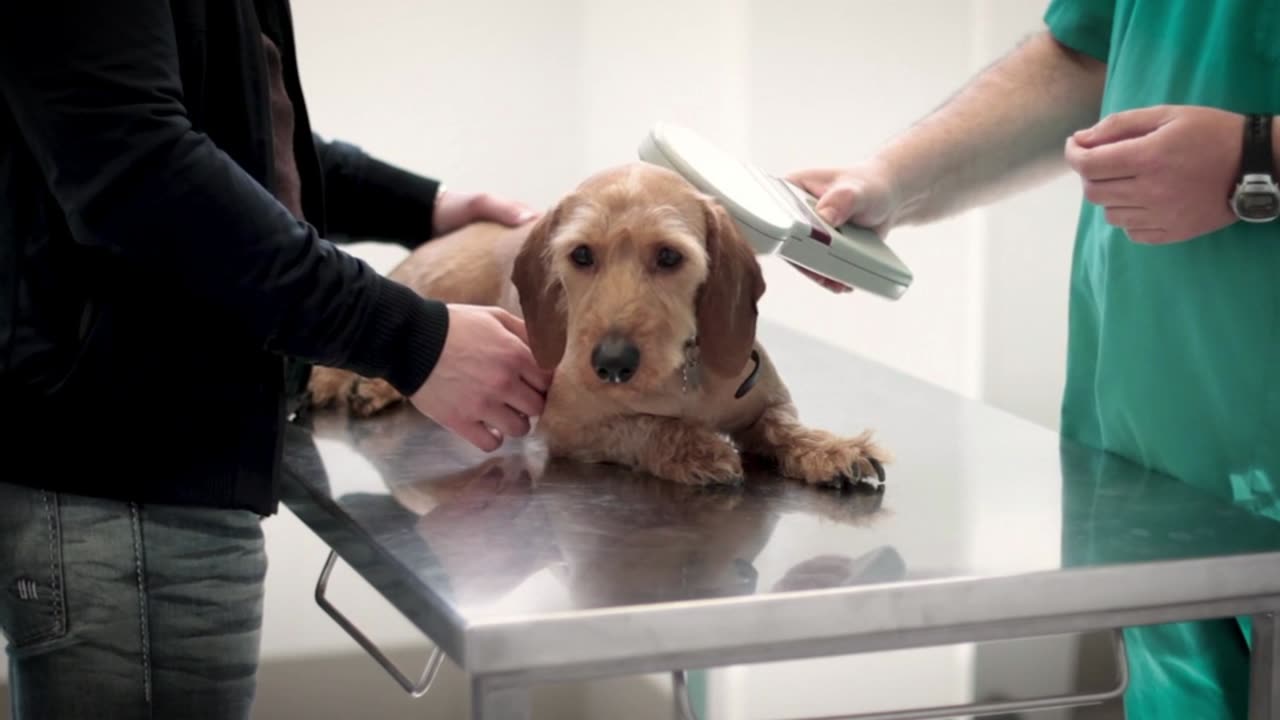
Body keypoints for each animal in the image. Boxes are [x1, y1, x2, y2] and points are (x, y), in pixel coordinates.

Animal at [308, 161, 890, 486]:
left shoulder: (767, 400)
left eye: (670, 256)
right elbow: (643, 426)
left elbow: (783, 424)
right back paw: (346, 381)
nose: (611, 363)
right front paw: (695, 448)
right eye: (582, 255)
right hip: (437, 289)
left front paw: (833, 450)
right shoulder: (569, 425)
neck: (682, 376)